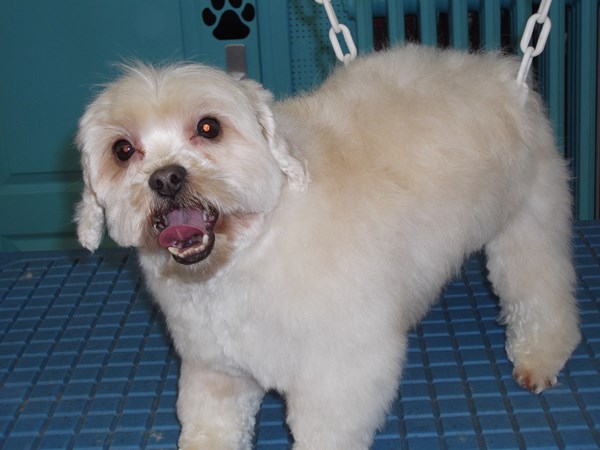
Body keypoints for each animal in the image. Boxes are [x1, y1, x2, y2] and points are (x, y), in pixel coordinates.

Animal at [76, 45, 580, 450]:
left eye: (208, 127)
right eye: (122, 150)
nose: (166, 178)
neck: (248, 254)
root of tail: (500, 69)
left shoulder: (340, 377)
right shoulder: (217, 371)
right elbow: (211, 425)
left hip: (528, 221)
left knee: (541, 291)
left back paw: (540, 354)